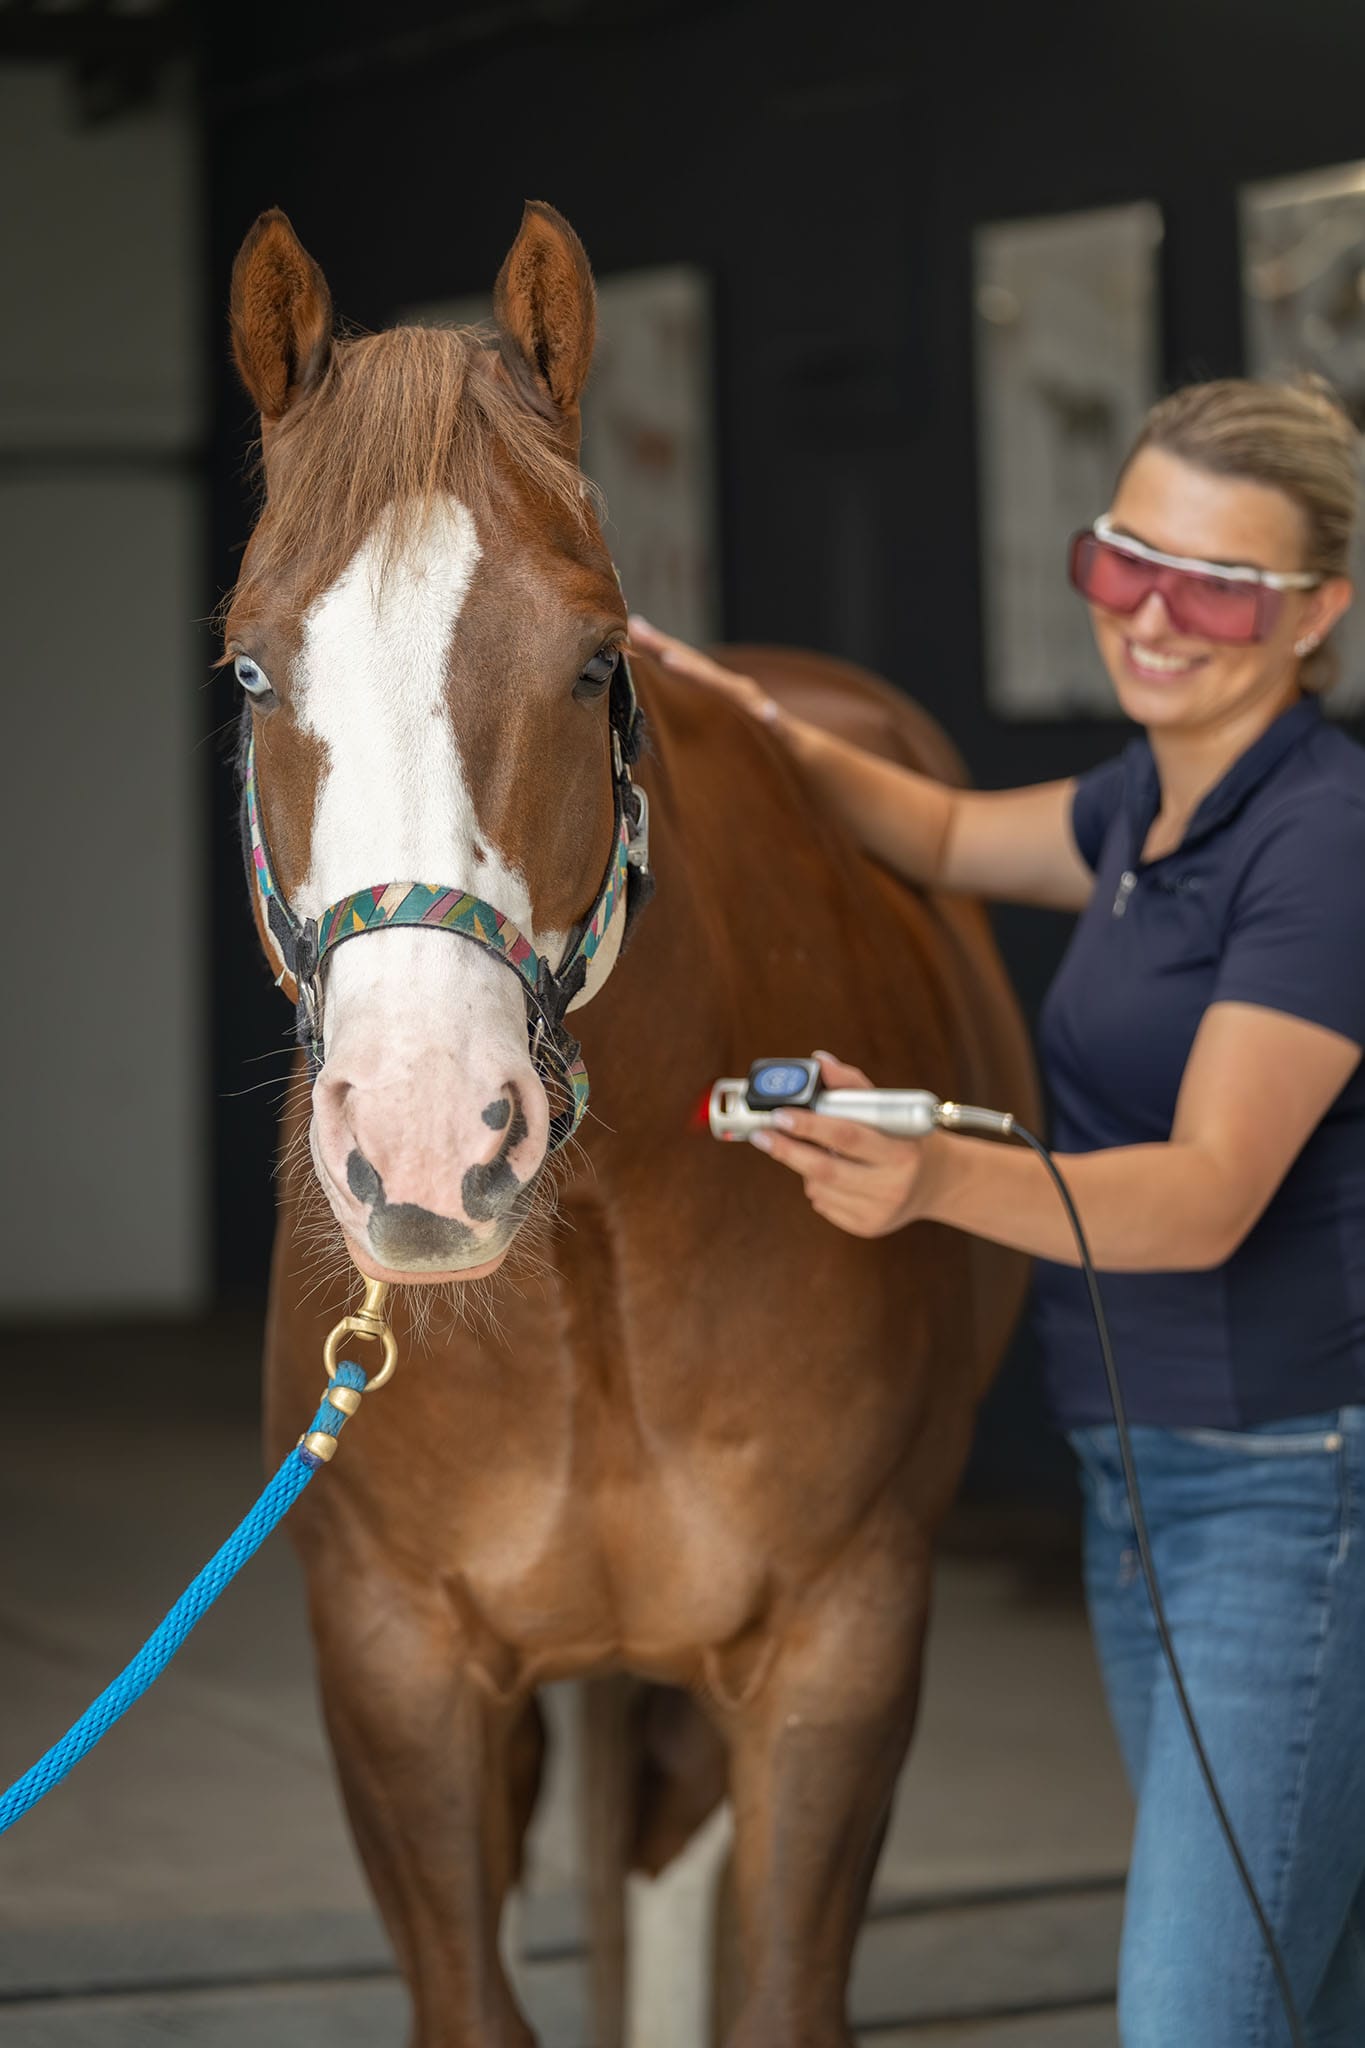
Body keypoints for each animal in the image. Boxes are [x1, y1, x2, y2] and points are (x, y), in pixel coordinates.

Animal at [225, 200, 1037, 2048]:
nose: (431, 1142)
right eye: (246, 670)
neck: (592, 1274)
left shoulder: (836, 1649)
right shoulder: (394, 1661)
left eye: (596, 659)